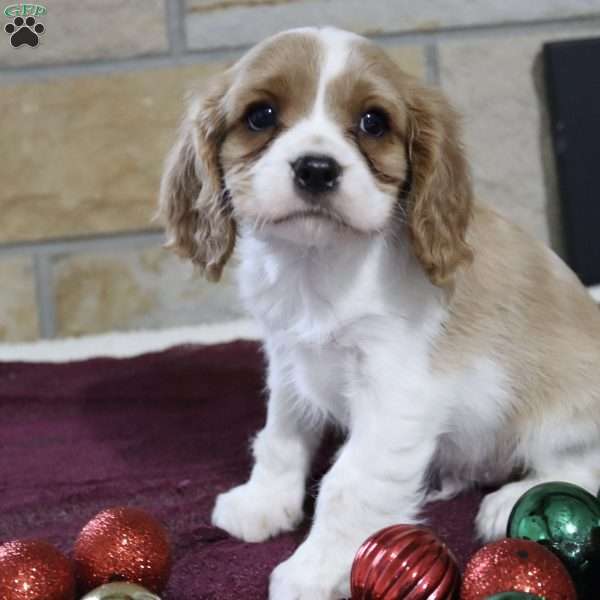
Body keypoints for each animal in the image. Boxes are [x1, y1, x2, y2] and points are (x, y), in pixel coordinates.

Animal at [158, 25, 600, 596]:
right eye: (261, 116)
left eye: (373, 122)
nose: (316, 168)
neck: (317, 262)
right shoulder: (287, 359)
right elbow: (282, 435)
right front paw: (264, 502)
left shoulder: (396, 390)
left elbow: (349, 482)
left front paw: (315, 569)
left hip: (560, 413)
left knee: (583, 464)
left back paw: (507, 503)